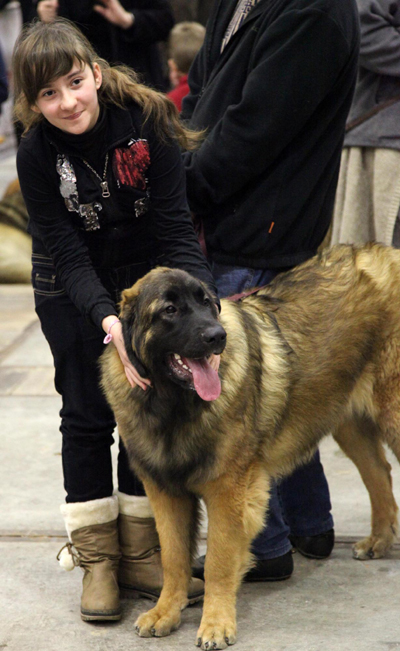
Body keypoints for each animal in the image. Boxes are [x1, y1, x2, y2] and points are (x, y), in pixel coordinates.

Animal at [100, 242, 400, 648]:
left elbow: (218, 562)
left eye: (207, 303)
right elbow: (173, 558)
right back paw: (378, 541)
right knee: (378, 473)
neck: (174, 406)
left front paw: (215, 624)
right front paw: (166, 612)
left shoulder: (229, 490)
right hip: (346, 418)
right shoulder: (165, 490)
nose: (217, 337)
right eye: (170, 310)